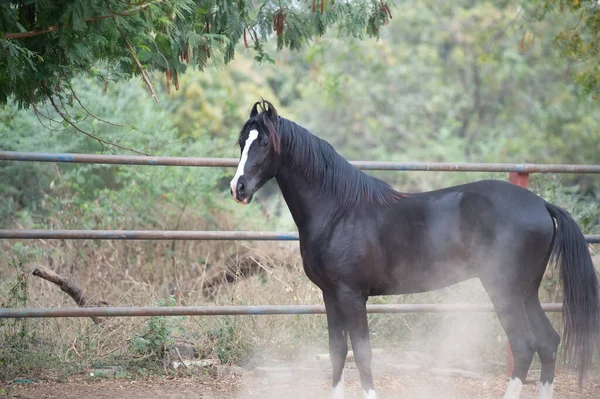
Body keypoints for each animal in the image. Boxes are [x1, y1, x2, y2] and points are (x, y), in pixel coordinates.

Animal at [229, 101, 596, 399]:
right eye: (242, 142)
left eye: (264, 142)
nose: (238, 188)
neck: (338, 210)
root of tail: (542, 205)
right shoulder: (330, 296)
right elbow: (337, 353)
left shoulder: (352, 295)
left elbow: (363, 355)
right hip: (526, 292)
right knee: (548, 343)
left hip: (504, 290)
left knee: (523, 346)